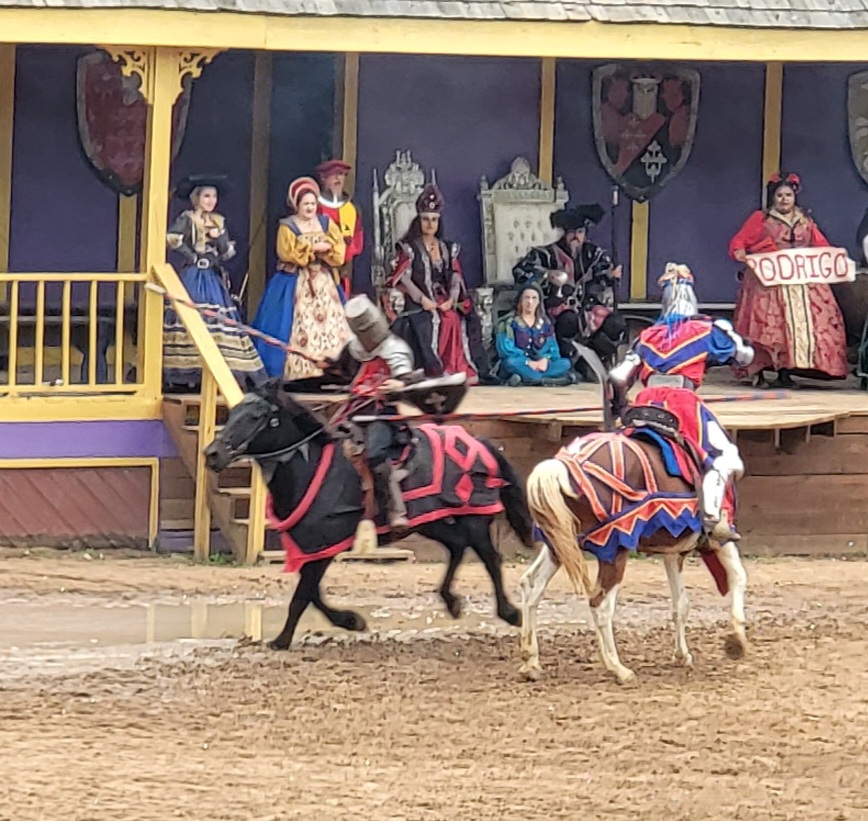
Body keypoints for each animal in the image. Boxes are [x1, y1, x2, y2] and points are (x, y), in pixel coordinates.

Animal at [203, 382, 532, 652]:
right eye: (234, 412)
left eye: (254, 416)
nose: (212, 454)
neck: (312, 468)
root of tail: (479, 443)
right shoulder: (315, 548)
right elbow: (312, 593)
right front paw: (351, 621)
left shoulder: (325, 547)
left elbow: (302, 596)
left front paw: (282, 640)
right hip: (433, 521)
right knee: (457, 547)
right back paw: (451, 601)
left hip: (473, 519)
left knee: (490, 558)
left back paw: (510, 613)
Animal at [520, 430, 748, 684]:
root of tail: (564, 465)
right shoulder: (719, 541)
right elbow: (738, 576)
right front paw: (737, 640)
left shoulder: (673, 551)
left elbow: (681, 604)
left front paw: (682, 655)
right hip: (613, 551)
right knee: (600, 605)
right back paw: (618, 668)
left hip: (559, 544)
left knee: (532, 585)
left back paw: (531, 662)